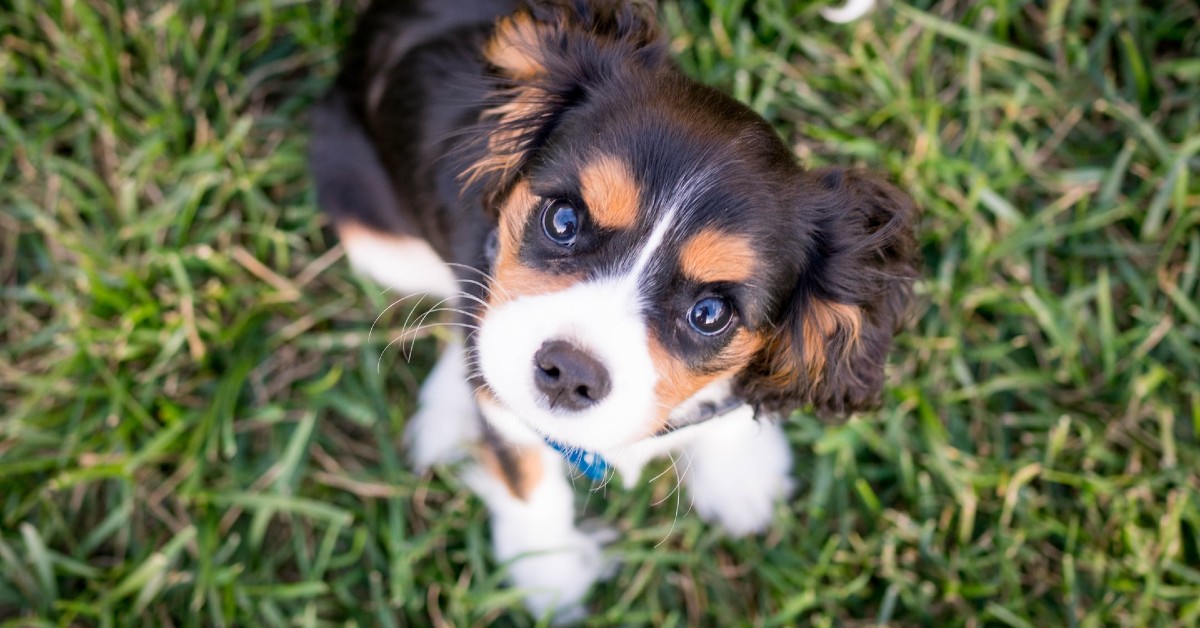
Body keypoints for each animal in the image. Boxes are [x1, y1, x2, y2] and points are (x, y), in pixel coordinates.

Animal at [312, 0, 916, 619]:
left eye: (710, 313)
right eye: (562, 220)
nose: (568, 372)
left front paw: (739, 474)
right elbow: (526, 474)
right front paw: (547, 575)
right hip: (372, 228)